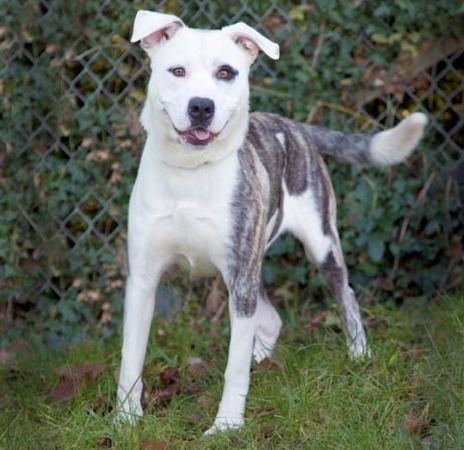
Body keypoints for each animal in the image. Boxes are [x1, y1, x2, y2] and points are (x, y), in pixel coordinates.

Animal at [117, 9, 428, 432]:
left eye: (226, 72)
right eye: (176, 71)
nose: (202, 107)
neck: (191, 172)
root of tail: (296, 126)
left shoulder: (241, 276)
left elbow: (233, 368)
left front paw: (227, 425)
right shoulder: (144, 280)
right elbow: (130, 357)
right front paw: (124, 419)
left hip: (319, 243)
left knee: (345, 295)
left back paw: (359, 357)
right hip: (245, 270)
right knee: (271, 319)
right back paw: (261, 362)